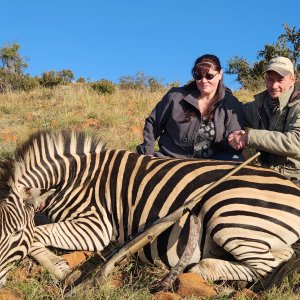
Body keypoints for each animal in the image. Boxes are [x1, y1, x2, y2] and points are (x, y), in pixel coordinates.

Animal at [0, 129, 300, 288]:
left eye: (15, 235)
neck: (73, 179)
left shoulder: (97, 227)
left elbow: (37, 236)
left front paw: (63, 270)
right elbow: (39, 233)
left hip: (229, 215)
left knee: (266, 265)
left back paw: (201, 269)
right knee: (280, 255)